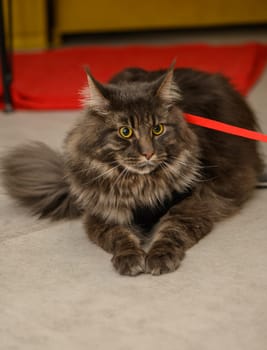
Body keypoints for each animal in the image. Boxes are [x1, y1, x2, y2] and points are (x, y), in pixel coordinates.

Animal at [1, 64, 264, 274]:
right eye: (125, 132)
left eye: (157, 129)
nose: (148, 153)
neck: (140, 187)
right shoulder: (102, 213)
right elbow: (119, 236)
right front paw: (130, 258)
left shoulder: (196, 201)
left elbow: (172, 229)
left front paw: (159, 257)